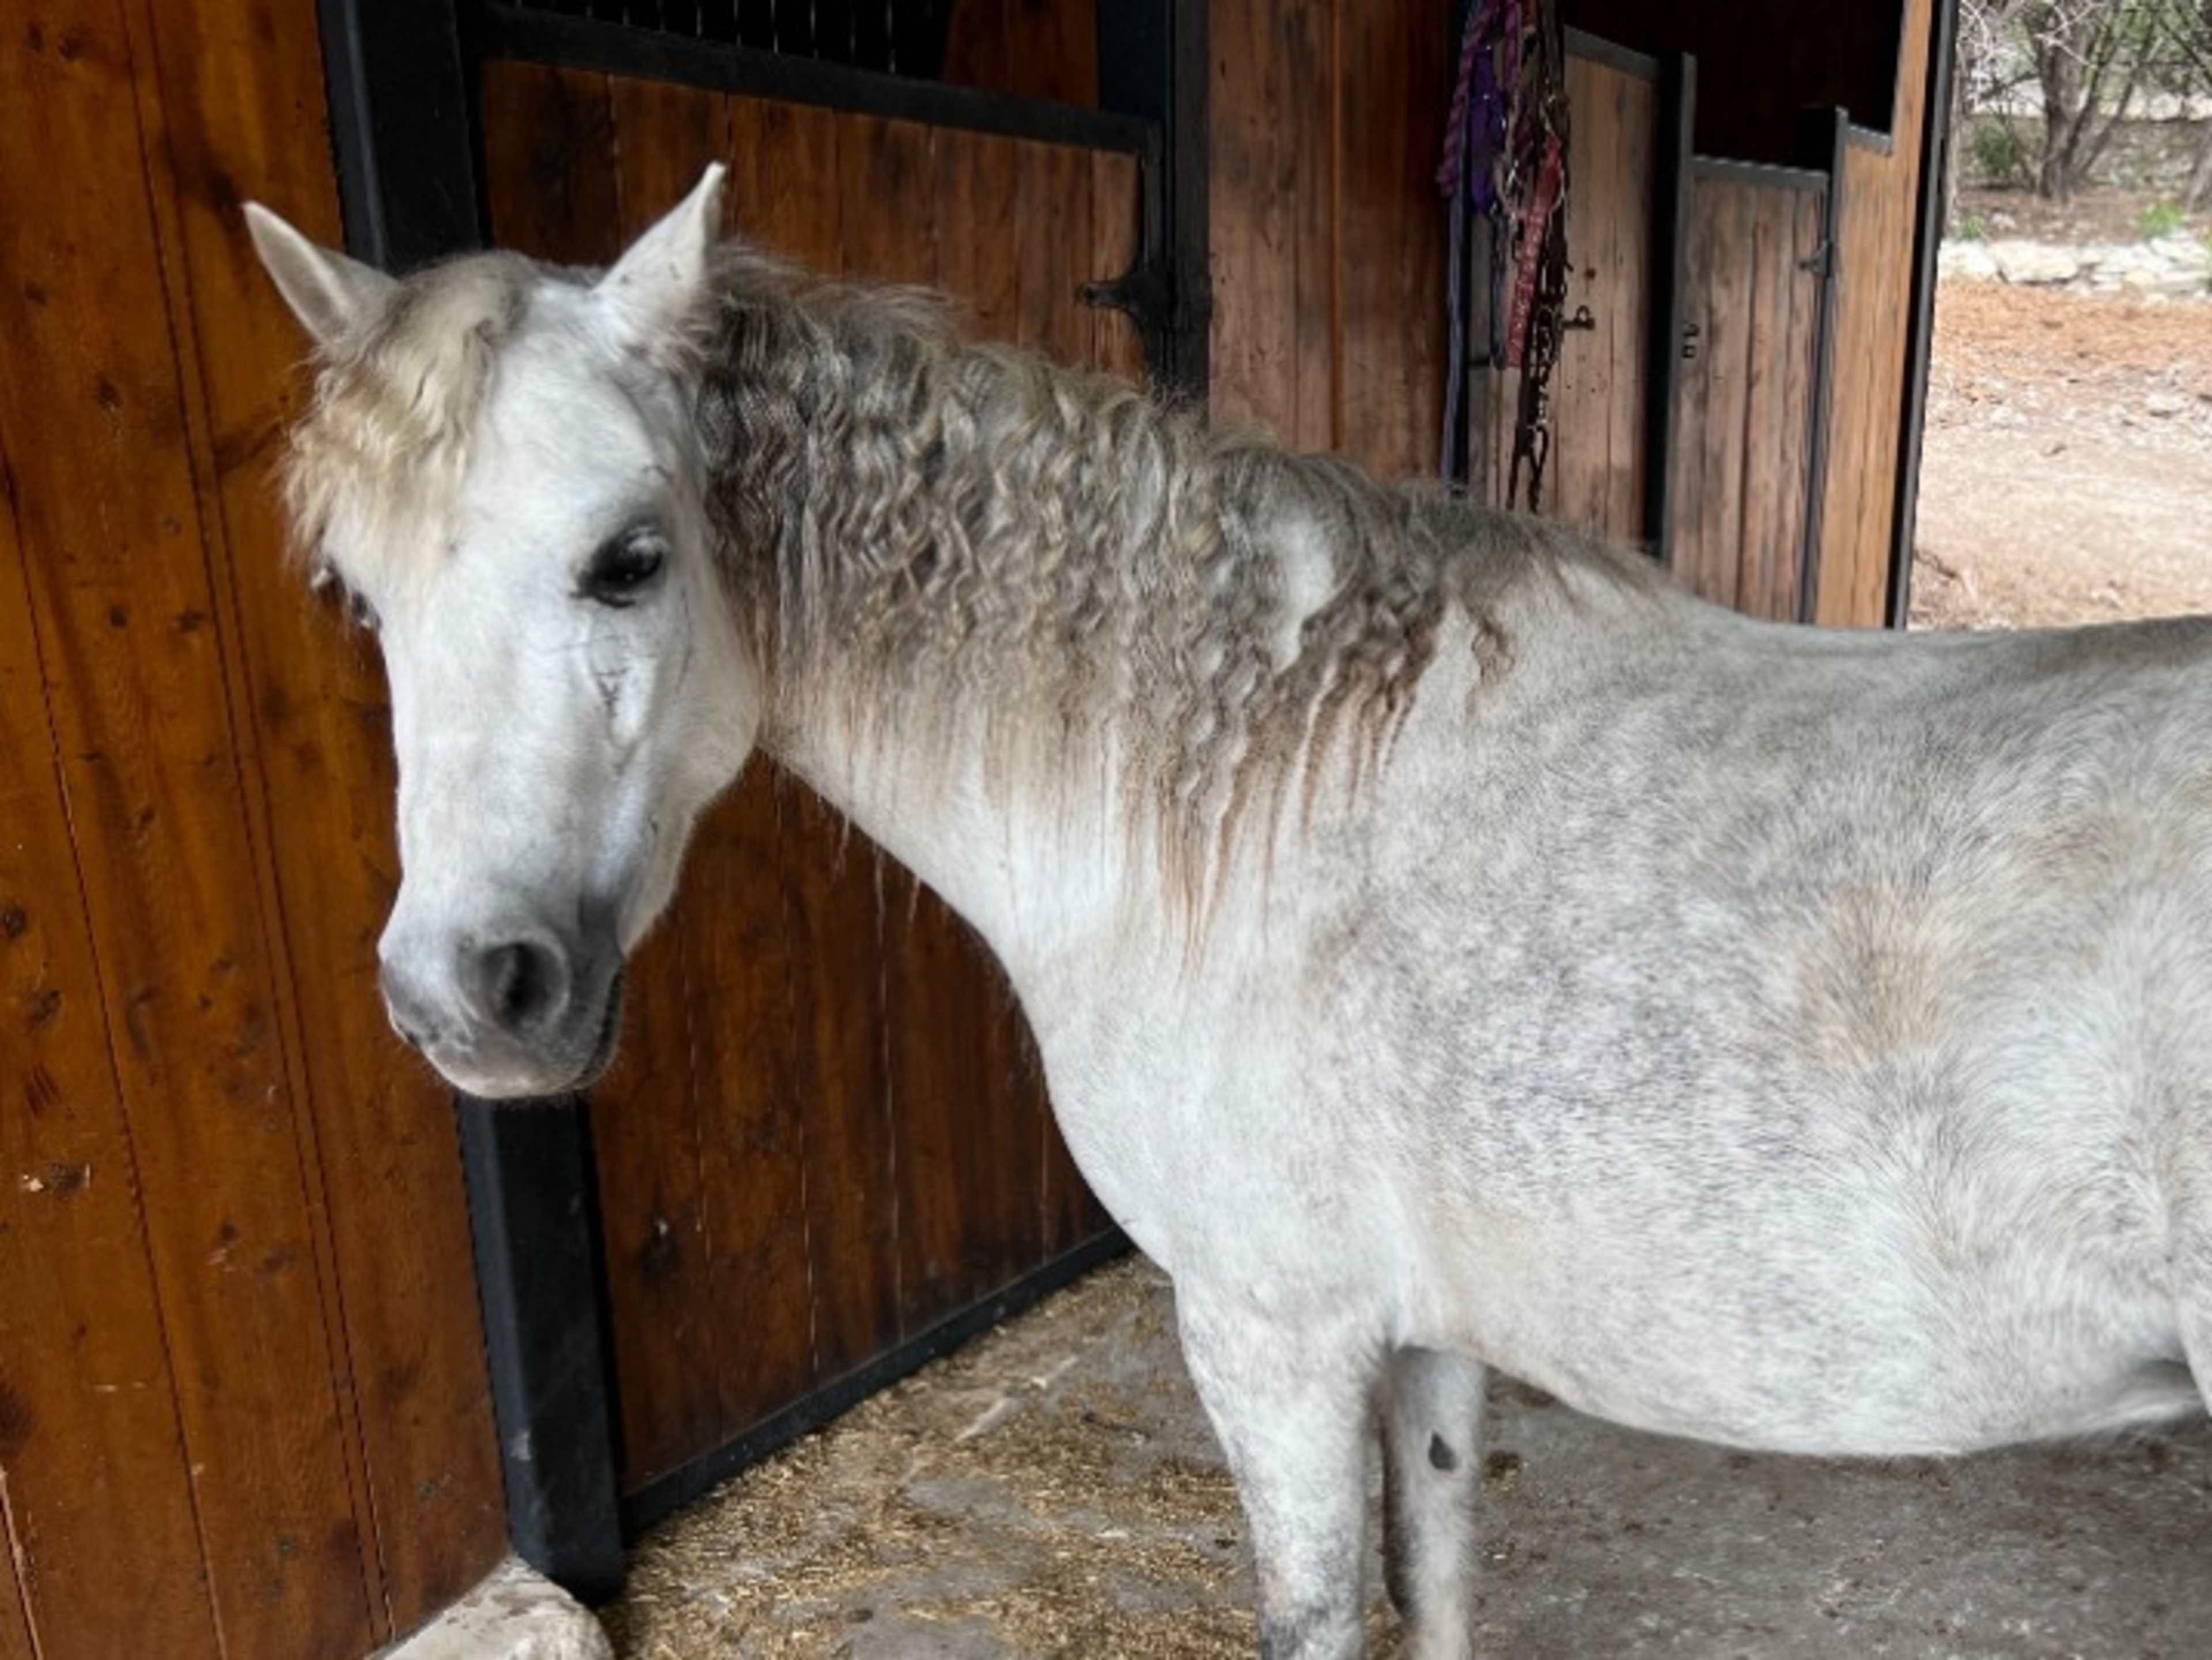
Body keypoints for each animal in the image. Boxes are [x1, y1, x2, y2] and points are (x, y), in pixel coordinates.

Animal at [246, 166, 2212, 1659]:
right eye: (355, 594)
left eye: (629, 559)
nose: (468, 998)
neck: (1251, 790)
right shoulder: (1417, 1334)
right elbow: (1436, 1586)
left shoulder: (1269, 1333)